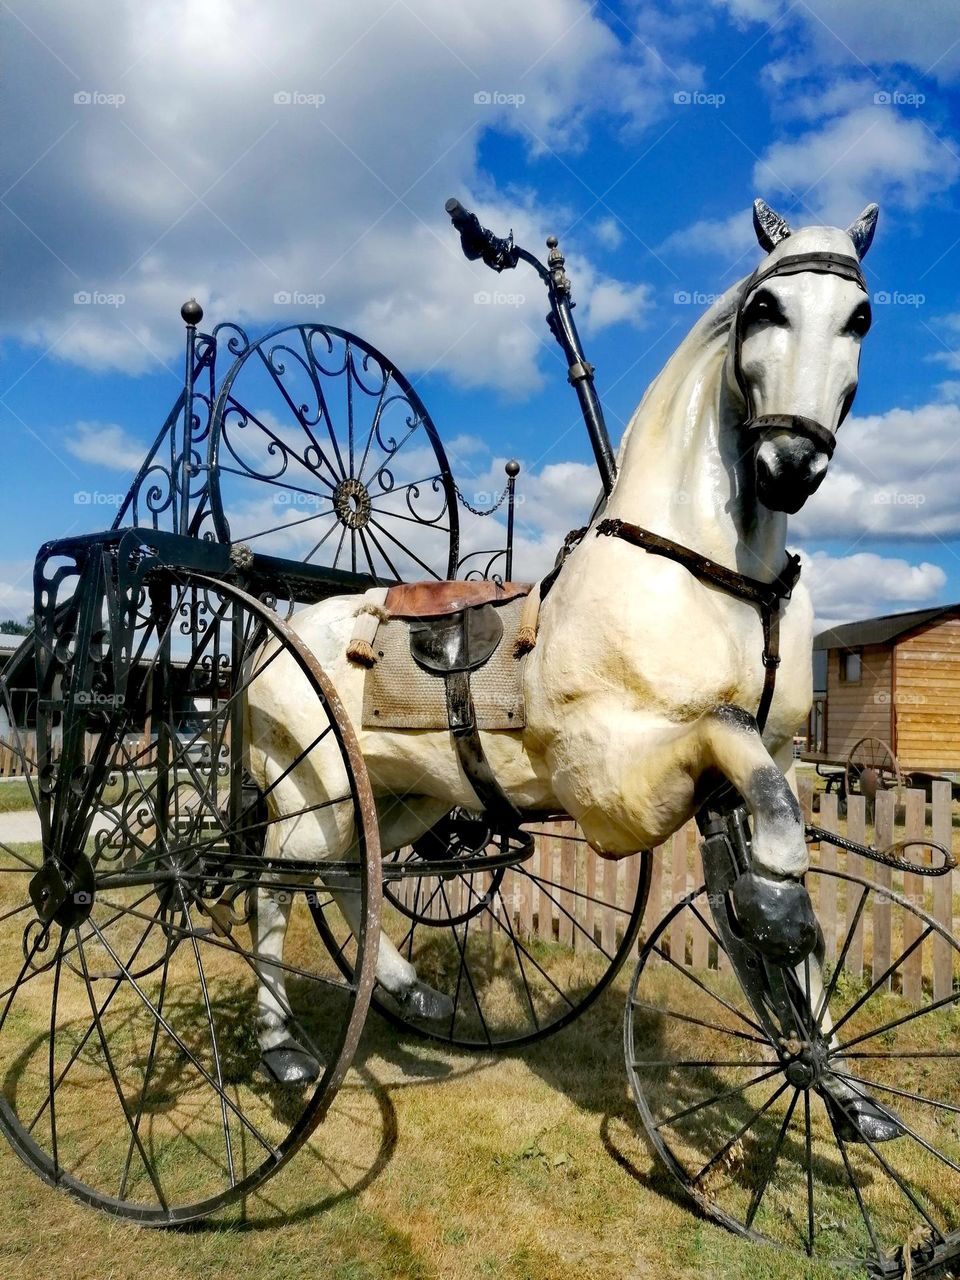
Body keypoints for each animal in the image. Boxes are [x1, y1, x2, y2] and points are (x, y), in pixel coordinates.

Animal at [245, 198, 894, 1139]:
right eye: (766, 308)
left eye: (861, 317)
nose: (790, 467)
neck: (722, 574)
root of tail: (274, 635)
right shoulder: (616, 782)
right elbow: (744, 776)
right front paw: (777, 921)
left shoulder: (774, 761)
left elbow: (778, 859)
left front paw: (841, 1086)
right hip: (311, 791)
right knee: (268, 882)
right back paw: (282, 1048)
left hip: (402, 799)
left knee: (339, 877)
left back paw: (413, 995)